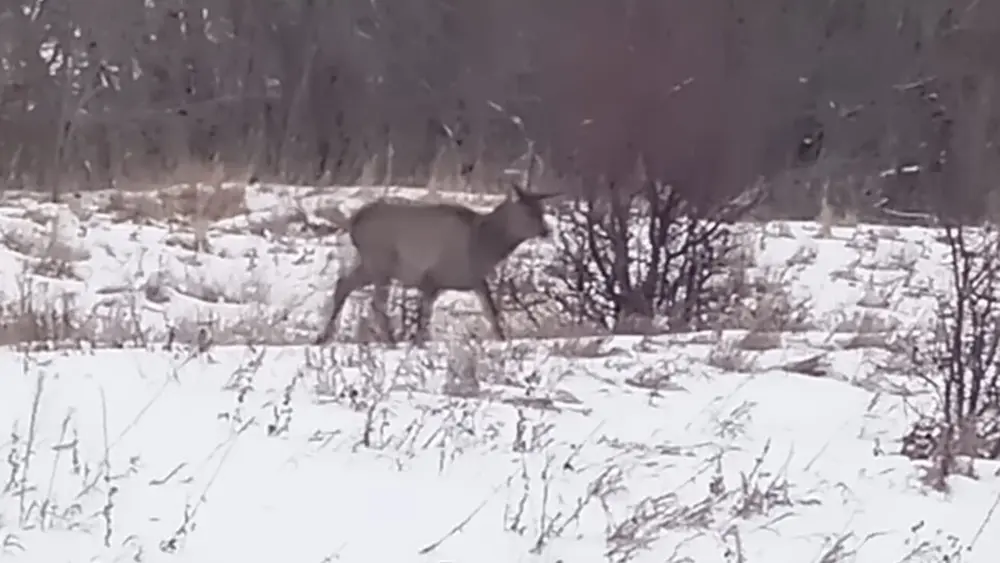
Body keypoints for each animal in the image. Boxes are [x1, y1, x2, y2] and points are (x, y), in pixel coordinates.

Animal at [314, 183, 556, 346]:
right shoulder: (431, 277)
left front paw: (503, 340)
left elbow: (492, 313)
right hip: (380, 261)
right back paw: (389, 340)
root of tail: (352, 221)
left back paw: (323, 337)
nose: (546, 230)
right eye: (527, 211)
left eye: (542, 210)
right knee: (376, 302)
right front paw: (417, 343)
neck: (483, 246)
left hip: (371, 264)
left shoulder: (473, 280)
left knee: (343, 284)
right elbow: (424, 317)